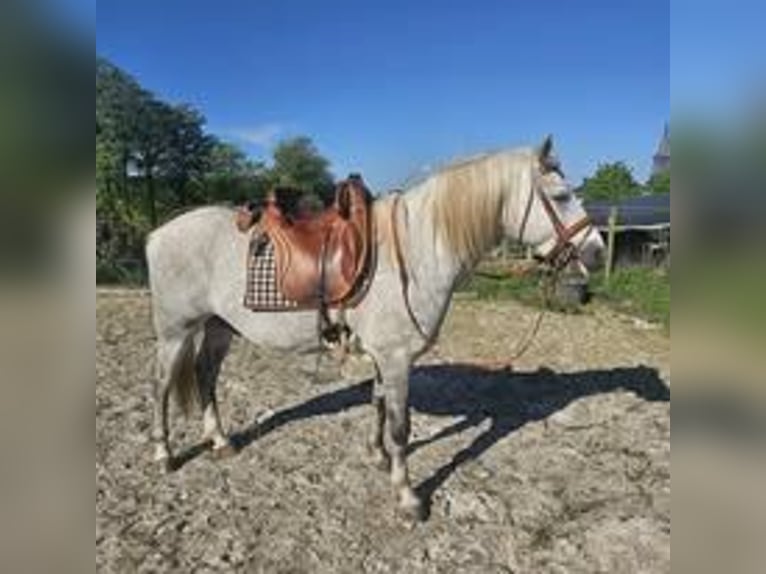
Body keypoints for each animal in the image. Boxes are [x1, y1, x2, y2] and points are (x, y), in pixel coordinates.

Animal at [145, 136, 605, 520]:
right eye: (561, 196)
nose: (597, 252)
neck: (414, 253)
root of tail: (157, 233)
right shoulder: (398, 358)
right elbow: (401, 427)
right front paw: (408, 497)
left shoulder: (387, 357)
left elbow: (379, 404)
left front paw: (377, 456)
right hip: (175, 331)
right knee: (163, 385)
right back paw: (164, 455)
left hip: (218, 327)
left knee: (205, 375)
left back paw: (220, 442)